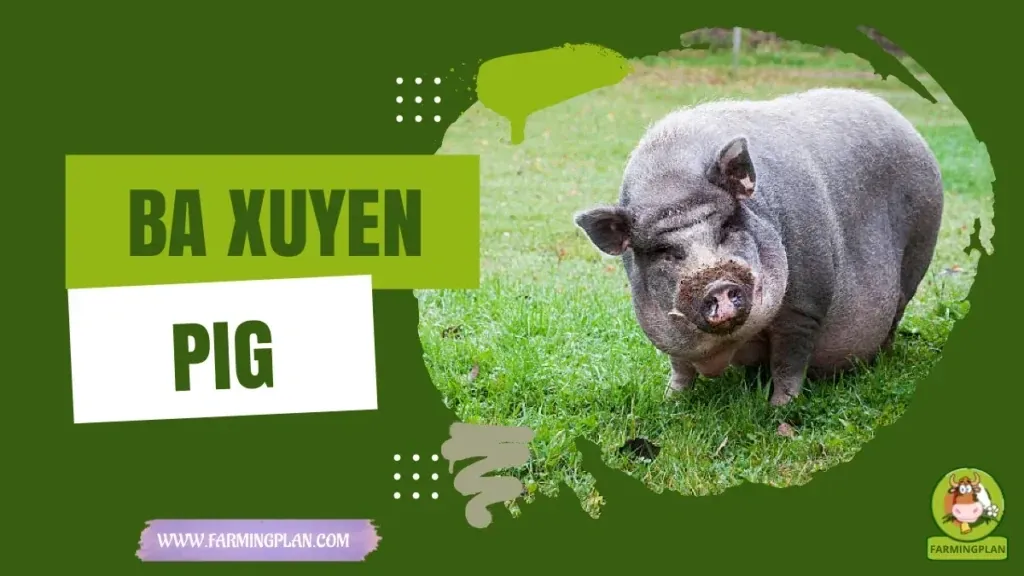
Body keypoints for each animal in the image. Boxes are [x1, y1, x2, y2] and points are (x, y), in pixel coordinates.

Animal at [573, 87, 943, 406]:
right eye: (663, 251)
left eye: (727, 225)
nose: (716, 283)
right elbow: (679, 366)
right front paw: (671, 401)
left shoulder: (804, 306)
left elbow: (788, 362)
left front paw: (780, 409)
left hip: (918, 252)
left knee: (896, 313)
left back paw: (879, 360)